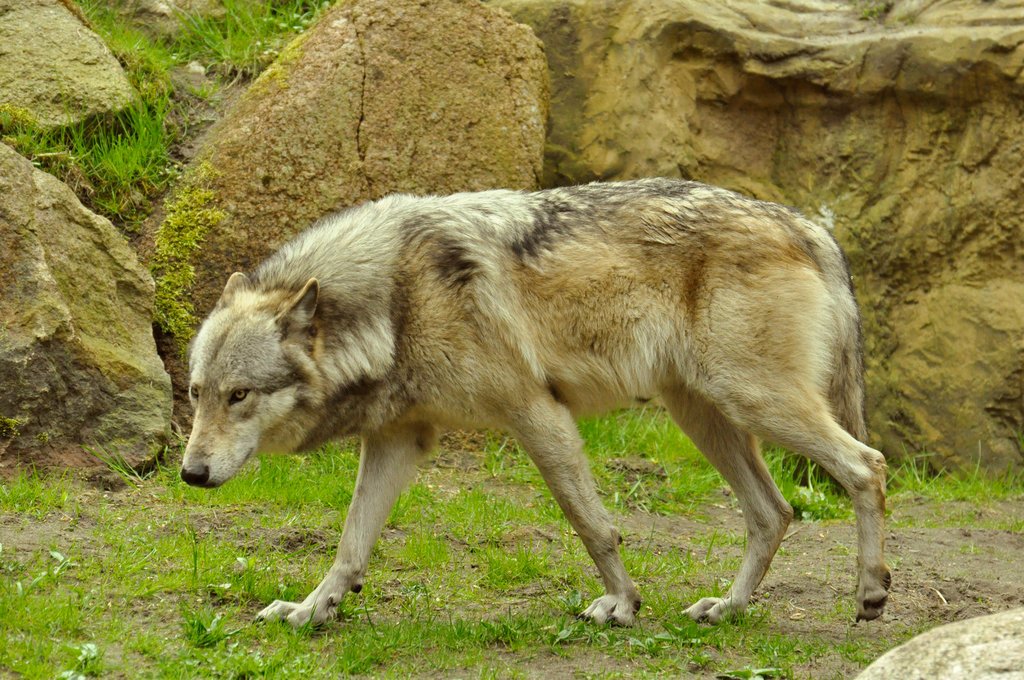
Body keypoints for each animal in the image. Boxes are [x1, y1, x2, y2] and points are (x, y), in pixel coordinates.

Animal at [180, 178, 891, 629]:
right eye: (197, 393)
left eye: (239, 395)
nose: (190, 473)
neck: (397, 298)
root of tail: (806, 224)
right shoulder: (398, 440)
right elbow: (350, 545)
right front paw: (309, 611)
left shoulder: (535, 413)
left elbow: (592, 525)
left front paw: (622, 604)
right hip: (705, 417)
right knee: (774, 513)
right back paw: (727, 609)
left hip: (753, 403)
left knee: (868, 466)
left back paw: (871, 592)